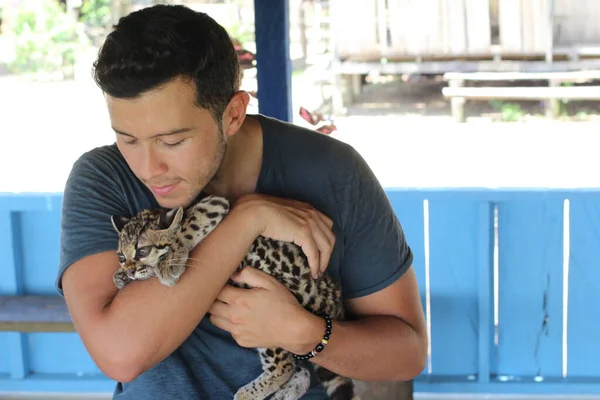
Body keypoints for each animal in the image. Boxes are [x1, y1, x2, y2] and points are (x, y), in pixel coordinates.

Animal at [110, 195, 356, 400]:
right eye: (121, 256)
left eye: (143, 251)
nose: (129, 270)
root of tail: (333, 302)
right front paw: (122, 277)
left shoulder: (215, 203)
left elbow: (187, 227)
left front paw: (170, 263)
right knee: (299, 368)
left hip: (273, 319)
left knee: (284, 367)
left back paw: (248, 394)